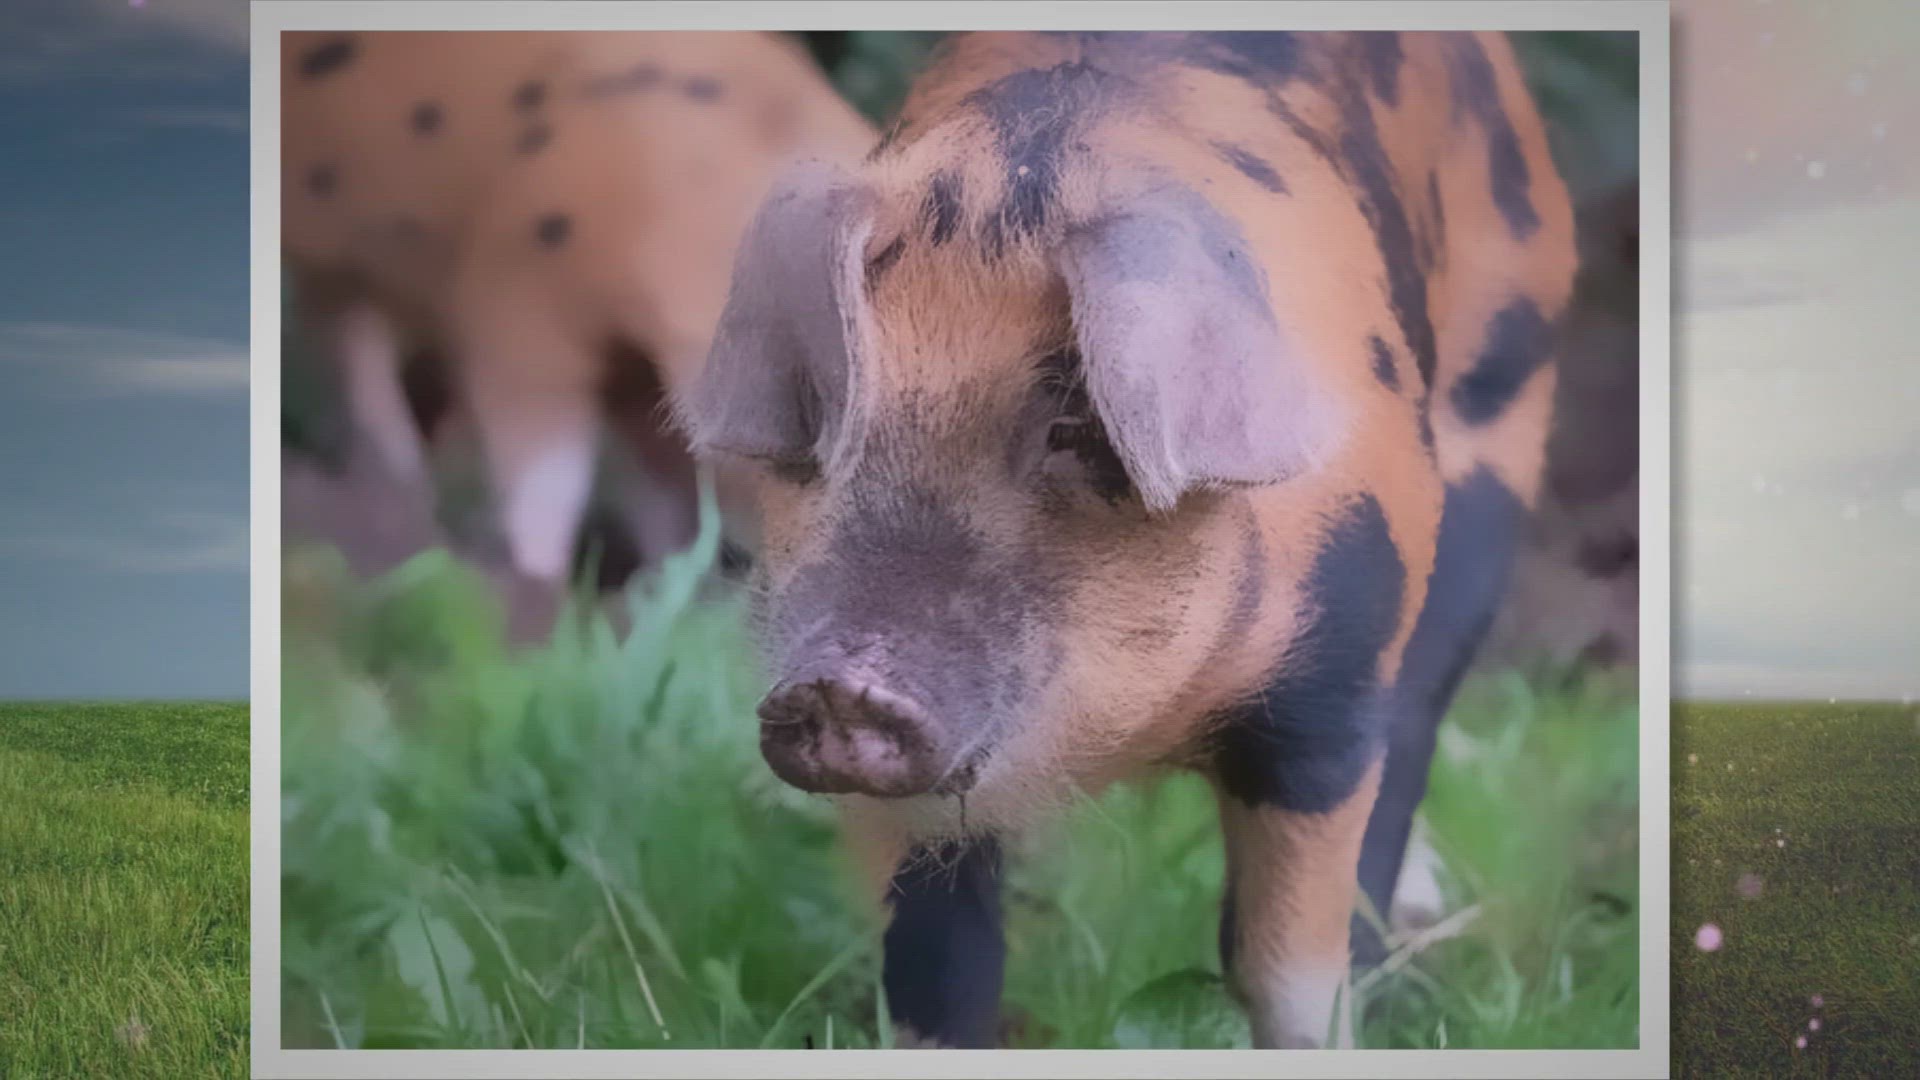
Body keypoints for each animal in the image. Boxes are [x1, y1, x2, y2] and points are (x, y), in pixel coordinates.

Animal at [280, 31, 875, 604]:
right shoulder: (515, 289)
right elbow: (542, 452)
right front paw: (541, 588)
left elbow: (661, 482)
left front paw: (665, 588)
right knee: (356, 344)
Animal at [680, 31, 1580, 1049]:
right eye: (834, 410)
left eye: (1076, 430)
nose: (844, 686)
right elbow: (932, 966)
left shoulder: (1335, 686)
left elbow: (1287, 962)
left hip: (1498, 424)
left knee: (1419, 724)